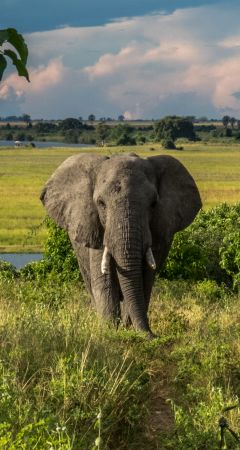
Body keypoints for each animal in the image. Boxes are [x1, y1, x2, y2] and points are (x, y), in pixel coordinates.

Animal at [40, 154, 202, 338]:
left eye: (153, 204)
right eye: (101, 203)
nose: (153, 335)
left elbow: (144, 279)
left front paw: (128, 327)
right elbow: (104, 280)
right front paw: (109, 331)